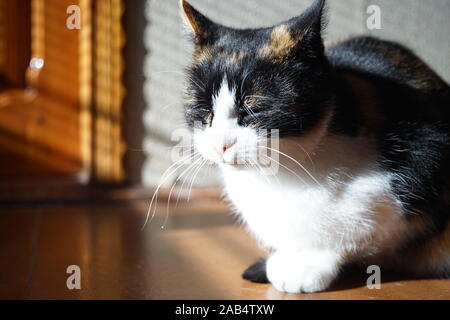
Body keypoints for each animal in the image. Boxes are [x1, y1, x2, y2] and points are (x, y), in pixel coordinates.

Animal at [179, 0, 450, 292]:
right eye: (203, 112)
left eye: (254, 110)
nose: (221, 145)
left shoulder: (424, 157)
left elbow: (357, 228)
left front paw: (303, 265)